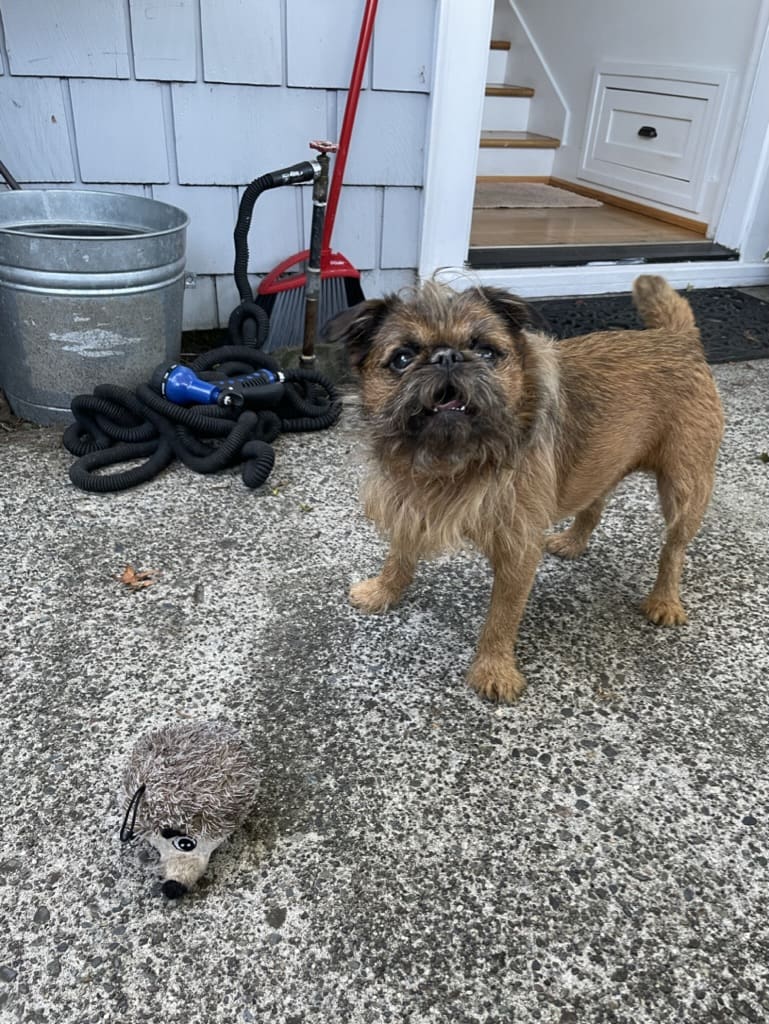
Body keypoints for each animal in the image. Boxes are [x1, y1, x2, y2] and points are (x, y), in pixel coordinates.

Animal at [327, 276, 724, 700]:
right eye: (402, 358)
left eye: (486, 352)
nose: (447, 357)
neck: (459, 458)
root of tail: (676, 337)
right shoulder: (410, 504)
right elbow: (399, 555)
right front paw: (384, 591)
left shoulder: (517, 550)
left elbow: (502, 615)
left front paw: (494, 669)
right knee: (595, 502)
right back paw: (573, 541)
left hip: (685, 488)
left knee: (674, 548)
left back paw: (664, 599)